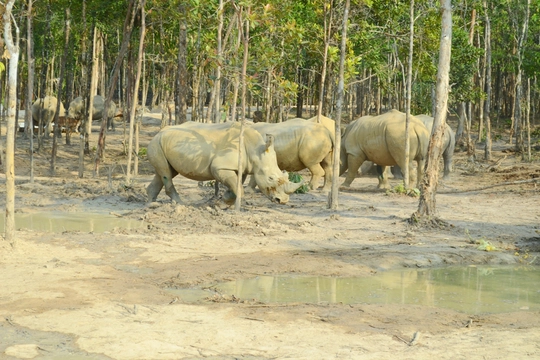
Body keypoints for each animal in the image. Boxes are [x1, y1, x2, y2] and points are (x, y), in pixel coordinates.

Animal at [146, 121, 304, 204]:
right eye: (270, 178)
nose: (283, 200)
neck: (255, 149)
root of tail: (159, 132)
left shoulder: (241, 167)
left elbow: (236, 185)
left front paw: (223, 203)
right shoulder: (220, 167)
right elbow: (238, 187)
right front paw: (229, 204)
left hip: (164, 143)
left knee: (166, 172)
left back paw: (150, 205)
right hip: (156, 143)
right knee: (166, 174)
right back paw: (180, 204)